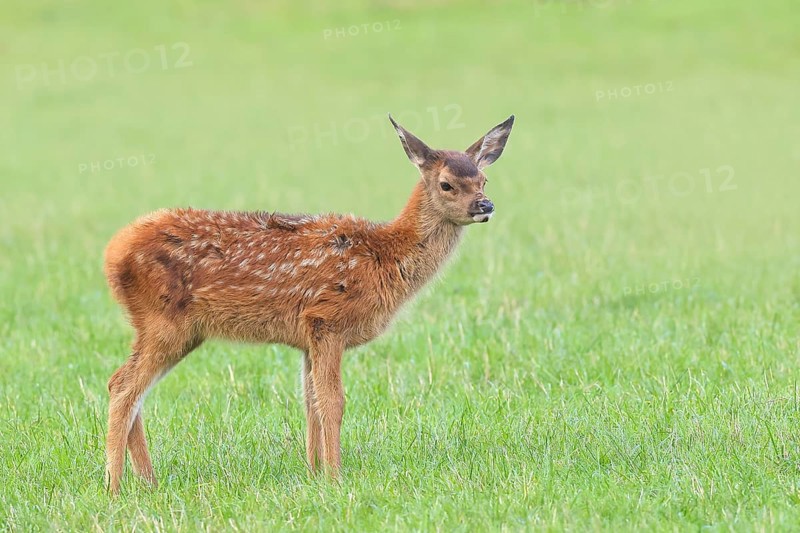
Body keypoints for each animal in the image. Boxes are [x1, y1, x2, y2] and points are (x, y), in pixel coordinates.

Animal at [102, 113, 515, 494]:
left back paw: (148, 481)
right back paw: (115, 485)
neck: (384, 256)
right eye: (447, 184)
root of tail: (112, 254)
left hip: (171, 328)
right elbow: (333, 401)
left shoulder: (306, 338)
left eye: (483, 179)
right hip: (165, 321)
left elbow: (310, 402)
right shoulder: (327, 319)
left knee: (126, 387)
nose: (485, 204)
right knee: (123, 387)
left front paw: (314, 473)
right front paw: (335, 476)